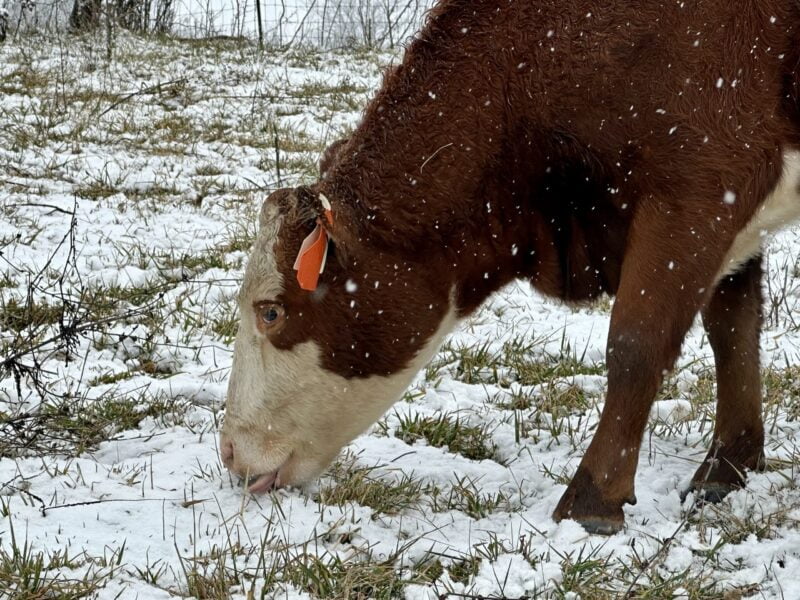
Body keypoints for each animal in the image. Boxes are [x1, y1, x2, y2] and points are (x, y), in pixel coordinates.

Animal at [220, 0, 800, 534]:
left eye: (270, 312)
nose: (227, 451)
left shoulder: (700, 188)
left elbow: (636, 345)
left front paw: (592, 502)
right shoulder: (731, 219)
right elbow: (732, 330)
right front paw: (728, 467)